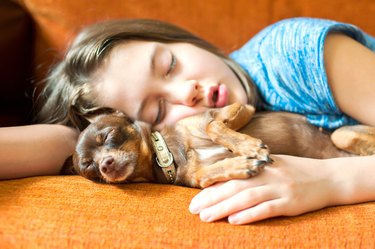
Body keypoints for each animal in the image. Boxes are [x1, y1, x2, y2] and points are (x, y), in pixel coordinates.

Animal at [72, 102, 374, 188]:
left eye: (108, 135)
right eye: (89, 168)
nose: (105, 165)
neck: (170, 153)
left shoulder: (237, 108)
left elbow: (213, 126)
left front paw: (249, 147)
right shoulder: (199, 177)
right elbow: (212, 173)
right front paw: (242, 162)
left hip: (340, 134)